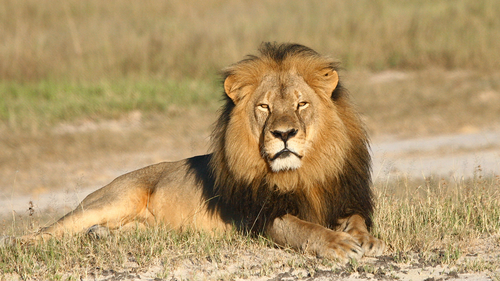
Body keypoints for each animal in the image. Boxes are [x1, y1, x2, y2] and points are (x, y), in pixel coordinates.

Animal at [12, 42, 386, 260]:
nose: (283, 134)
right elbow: (303, 228)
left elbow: (356, 220)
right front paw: (337, 244)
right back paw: (24, 245)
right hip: (113, 199)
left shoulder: (344, 198)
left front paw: (365, 240)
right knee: (52, 229)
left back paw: (102, 236)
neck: (302, 173)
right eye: (264, 107)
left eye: (301, 104)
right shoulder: (261, 217)